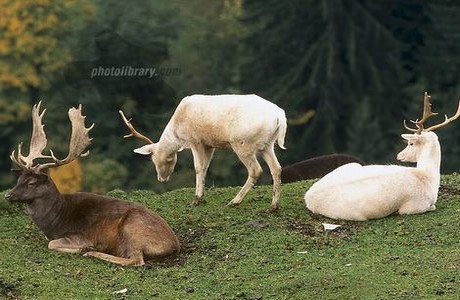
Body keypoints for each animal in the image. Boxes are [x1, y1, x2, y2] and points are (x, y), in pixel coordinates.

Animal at [6, 102, 181, 266]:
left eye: (31, 182)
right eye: (19, 179)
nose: (8, 195)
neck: (55, 220)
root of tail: (175, 245)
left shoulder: (78, 235)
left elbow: (52, 244)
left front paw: (84, 248)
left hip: (133, 228)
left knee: (136, 260)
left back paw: (92, 252)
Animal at [120, 95, 286, 210]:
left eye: (165, 160)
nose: (162, 178)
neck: (177, 130)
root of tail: (280, 117)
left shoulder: (196, 140)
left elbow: (198, 167)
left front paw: (196, 199)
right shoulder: (209, 145)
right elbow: (206, 167)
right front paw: (201, 197)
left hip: (243, 144)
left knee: (256, 170)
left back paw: (234, 202)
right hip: (267, 145)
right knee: (276, 168)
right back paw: (273, 206)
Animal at [306, 92, 460, 221]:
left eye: (411, 143)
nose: (399, 155)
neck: (428, 177)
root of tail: (308, 198)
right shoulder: (413, 207)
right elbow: (432, 207)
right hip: (354, 215)